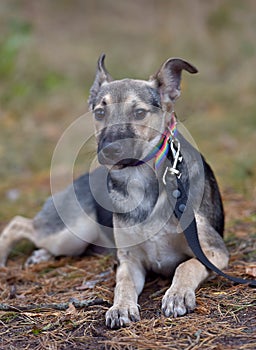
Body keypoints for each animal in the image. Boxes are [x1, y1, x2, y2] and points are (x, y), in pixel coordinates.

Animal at [0, 54, 228, 328]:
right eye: (100, 112)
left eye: (139, 112)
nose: (109, 151)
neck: (140, 178)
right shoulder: (130, 260)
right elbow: (123, 284)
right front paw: (120, 307)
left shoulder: (213, 251)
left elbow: (187, 266)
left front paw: (177, 294)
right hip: (71, 232)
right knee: (19, 223)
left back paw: (39, 255)